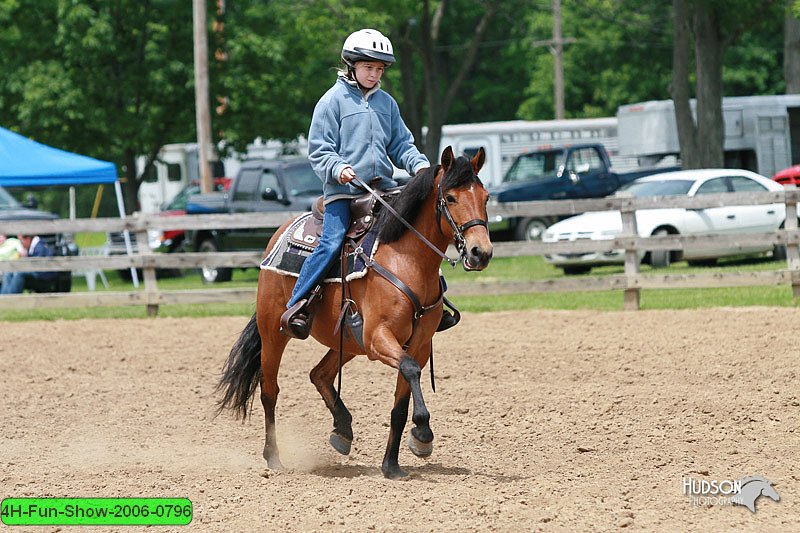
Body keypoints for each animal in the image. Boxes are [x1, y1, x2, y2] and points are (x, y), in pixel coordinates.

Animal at [219, 145, 494, 478]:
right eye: (451, 198)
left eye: (486, 197)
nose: (481, 252)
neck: (405, 258)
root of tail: (279, 235)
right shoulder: (378, 338)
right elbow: (410, 370)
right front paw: (423, 435)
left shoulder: (418, 343)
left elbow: (401, 402)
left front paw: (392, 465)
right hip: (273, 332)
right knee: (269, 390)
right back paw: (274, 458)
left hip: (348, 341)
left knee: (319, 374)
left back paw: (343, 431)